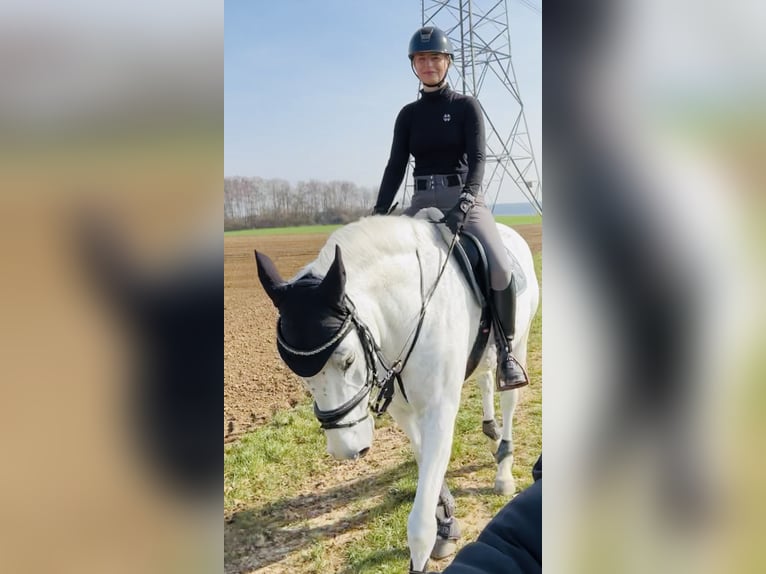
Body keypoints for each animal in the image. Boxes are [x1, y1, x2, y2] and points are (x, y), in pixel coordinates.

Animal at [255, 214, 539, 574]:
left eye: (347, 360)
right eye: (298, 374)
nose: (346, 450)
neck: (410, 312)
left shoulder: (439, 411)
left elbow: (420, 525)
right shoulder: (403, 411)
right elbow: (425, 461)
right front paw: (447, 519)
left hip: (519, 343)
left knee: (508, 398)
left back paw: (503, 470)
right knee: (486, 380)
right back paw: (491, 434)